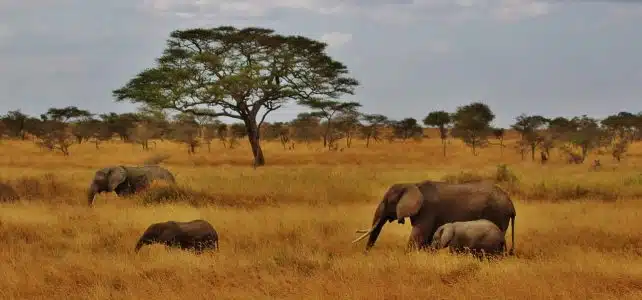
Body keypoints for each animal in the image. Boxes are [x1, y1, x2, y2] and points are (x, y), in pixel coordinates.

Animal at [350, 179, 516, 254]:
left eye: (387, 201)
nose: (366, 254)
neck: (412, 185)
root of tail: (511, 205)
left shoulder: (427, 210)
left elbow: (418, 237)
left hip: (498, 214)